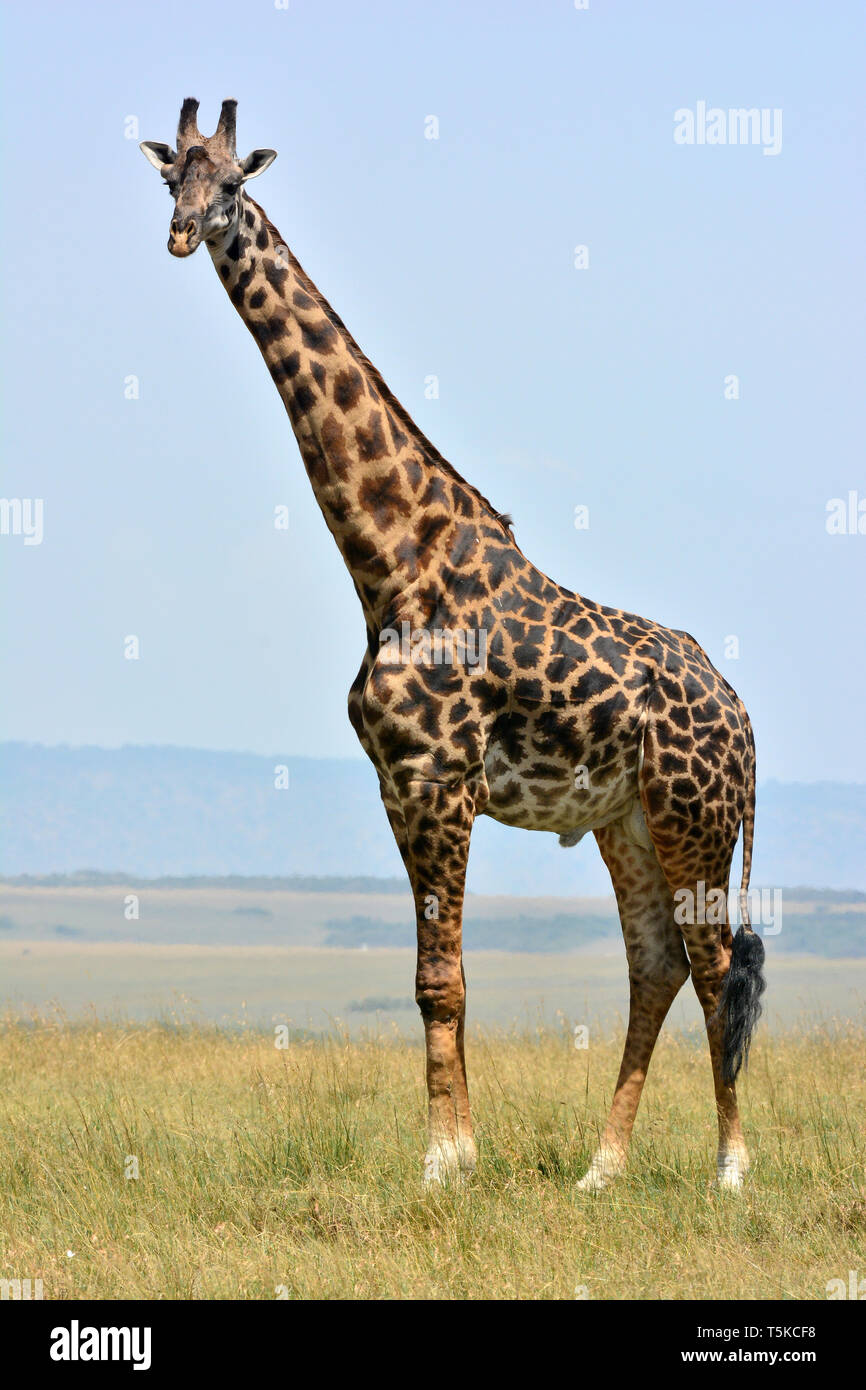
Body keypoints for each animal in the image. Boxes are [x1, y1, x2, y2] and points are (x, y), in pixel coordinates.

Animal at [140, 102, 767, 1195]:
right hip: (628, 821)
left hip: (698, 818)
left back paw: (729, 1170)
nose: (182, 235)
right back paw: (601, 1169)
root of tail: (742, 715)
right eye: (171, 177)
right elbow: (439, 976)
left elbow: (441, 978)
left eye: (231, 185)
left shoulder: (437, 780)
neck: (390, 559)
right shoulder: (398, 783)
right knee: (654, 964)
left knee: (715, 965)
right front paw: (457, 1150)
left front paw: (444, 1161)